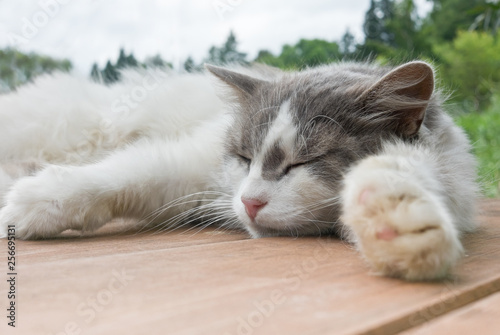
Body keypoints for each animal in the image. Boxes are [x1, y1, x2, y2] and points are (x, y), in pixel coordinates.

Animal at [0, 61, 476, 280]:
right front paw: (33, 202)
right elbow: (120, 175)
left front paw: (401, 225)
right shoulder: (187, 165)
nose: (249, 202)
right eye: (245, 157)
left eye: (303, 164)